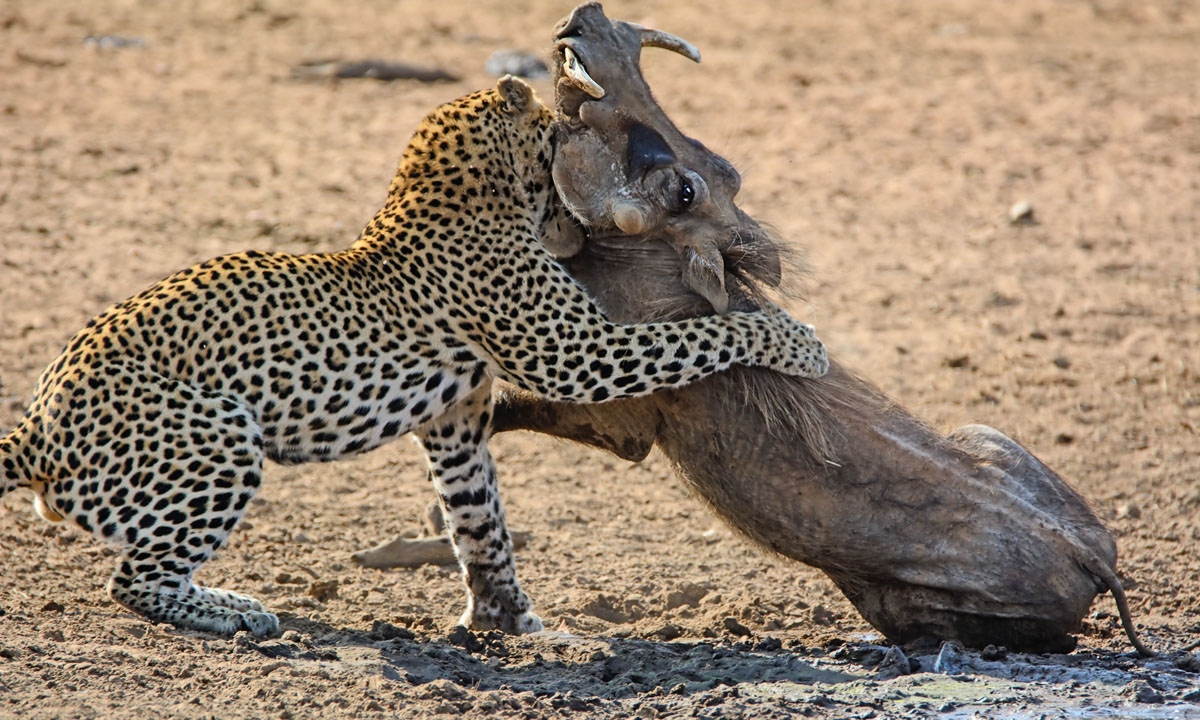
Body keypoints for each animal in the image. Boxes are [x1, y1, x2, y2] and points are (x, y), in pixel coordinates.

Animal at [0, 77, 828, 637]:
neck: (455, 193)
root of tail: (37, 423)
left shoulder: (454, 421)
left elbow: (480, 519)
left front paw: (512, 620)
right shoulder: (573, 351)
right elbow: (696, 336)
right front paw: (799, 340)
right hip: (217, 437)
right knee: (134, 579)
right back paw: (237, 610)